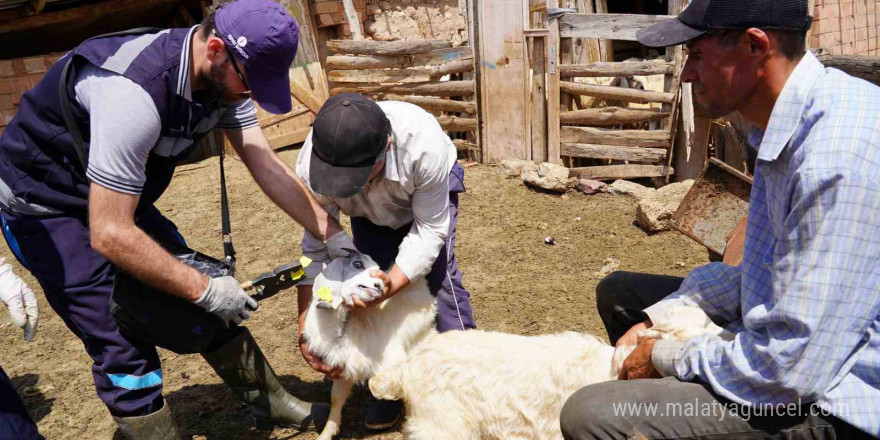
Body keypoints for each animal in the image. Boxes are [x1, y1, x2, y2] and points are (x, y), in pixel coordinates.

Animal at [302, 249, 436, 440]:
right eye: (357, 264)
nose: (379, 285)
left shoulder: (393, 360)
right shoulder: (343, 366)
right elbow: (336, 398)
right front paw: (327, 433)